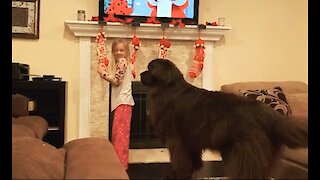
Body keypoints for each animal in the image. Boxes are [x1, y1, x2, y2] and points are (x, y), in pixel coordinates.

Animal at [140, 58, 308, 179]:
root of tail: (271, 116)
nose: (140, 74)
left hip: (244, 153)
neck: (168, 88)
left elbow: (178, 161)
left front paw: (174, 175)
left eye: (149, 69)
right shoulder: (191, 139)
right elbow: (192, 159)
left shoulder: (175, 139)